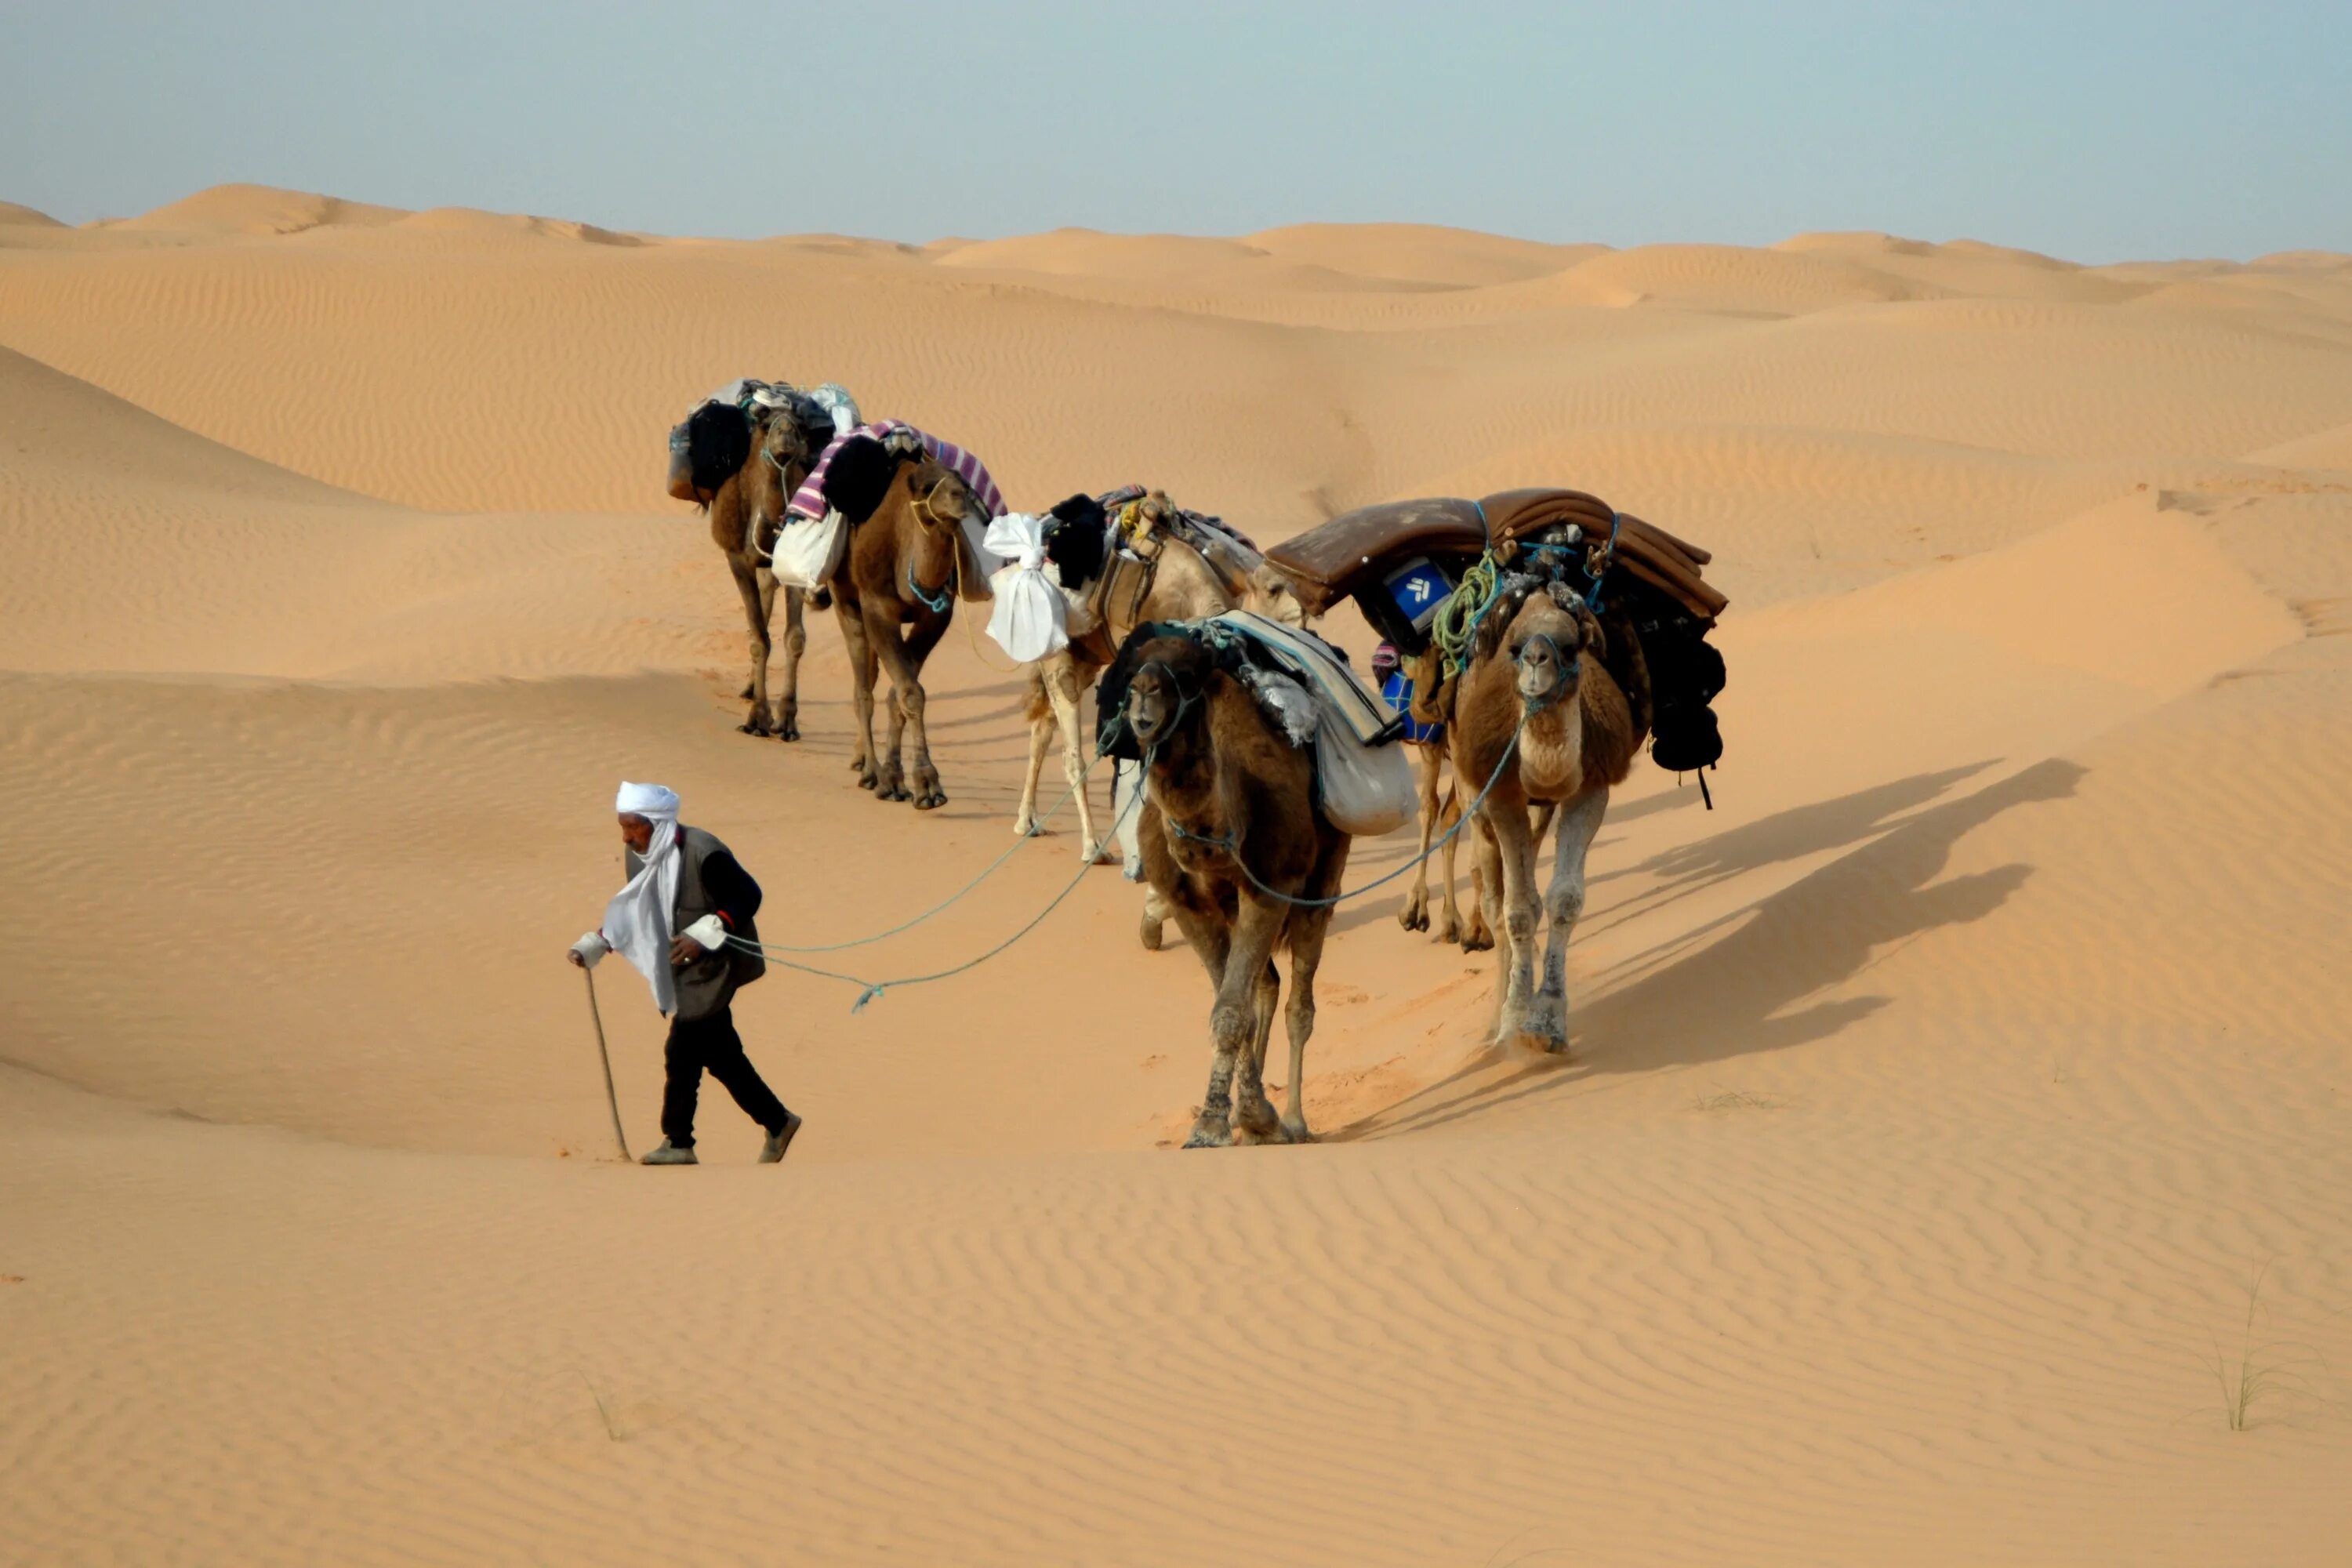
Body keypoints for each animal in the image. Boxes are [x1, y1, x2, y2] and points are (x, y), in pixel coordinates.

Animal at [668, 390, 833, 738]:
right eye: (767, 424)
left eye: (800, 425)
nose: (785, 433)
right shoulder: (737, 559)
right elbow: (758, 637)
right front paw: (757, 718)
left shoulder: (793, 567)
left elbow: (794, 638)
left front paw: (786, 721)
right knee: (759, 619)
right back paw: (750, 690)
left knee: (768, 598)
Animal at [1124, 630, 1355, 1152]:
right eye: (1133, 666)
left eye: (1189, 674)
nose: (1144, 692)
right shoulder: (1189, 905)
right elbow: (1234, 1008)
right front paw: (1244, 1117)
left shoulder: (1270, 887)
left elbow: (1232, 1011)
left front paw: (1219, 1125)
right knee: (1266, 984)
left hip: (1322, 878)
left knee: (1299, 1003)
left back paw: (1294, 1120)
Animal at [1439, 583, 1646, 1062]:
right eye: (1514, 648)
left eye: (1570, 647)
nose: (1537, 660)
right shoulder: (1501, 794)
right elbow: (1516, 910)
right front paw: (1514, 1020)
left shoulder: (1591, 787)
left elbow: (1563, 898)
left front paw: (1546, 1021)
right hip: (1471, 796)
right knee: (1492, 896)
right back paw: (1493, 1022)